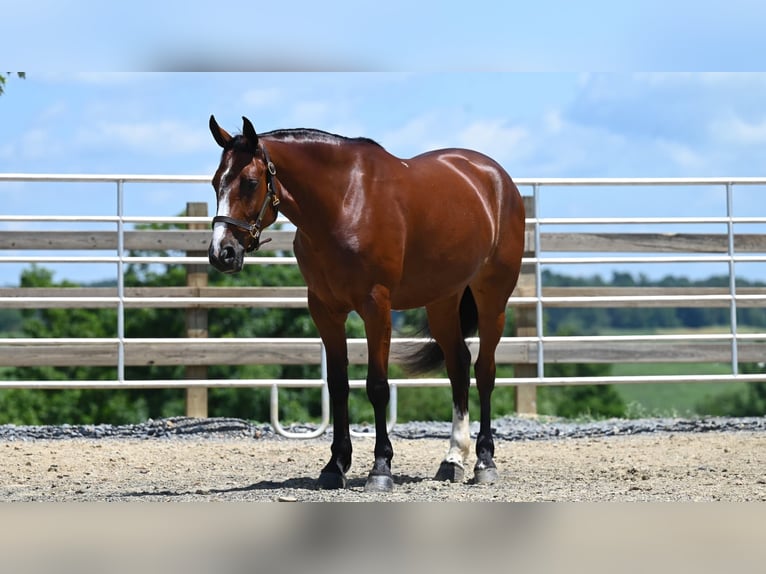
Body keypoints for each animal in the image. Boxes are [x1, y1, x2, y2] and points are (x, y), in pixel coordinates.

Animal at [207, 117, 524, 496]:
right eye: (215, 182)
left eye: (251, 182)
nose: (221, 253)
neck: (344, 203)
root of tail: (497, 178)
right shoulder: (325, 310)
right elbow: (338, 385)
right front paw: (334, 466)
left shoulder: (377, 307)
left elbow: (377, 386)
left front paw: (381, 468)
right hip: (442, 300)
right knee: (458, 364)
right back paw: (452, 459)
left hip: (493, 298)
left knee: (485, 370)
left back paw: (484, 461)